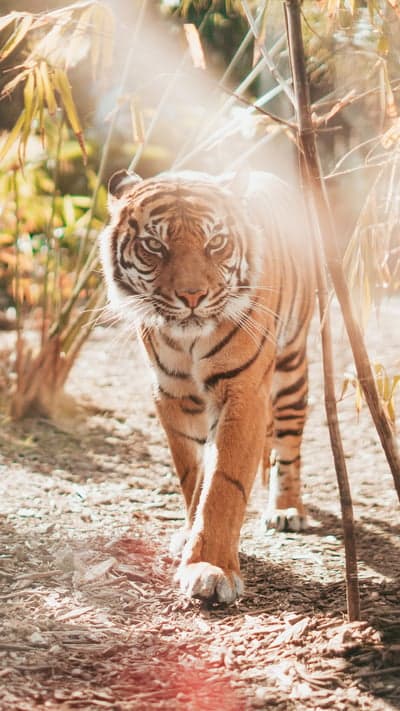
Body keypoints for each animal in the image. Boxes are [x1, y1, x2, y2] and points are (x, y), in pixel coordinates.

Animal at [100, 169, 315, 604]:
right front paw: (189, 536)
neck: (188, 341)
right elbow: (193, 476)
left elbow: (223, 485)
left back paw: (286, 509)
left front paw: (211, 569)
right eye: (154, 245)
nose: (192, 296)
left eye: (215, 243)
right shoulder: (173, 396)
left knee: (288, 445)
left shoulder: (243, 392)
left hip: (290, 370)